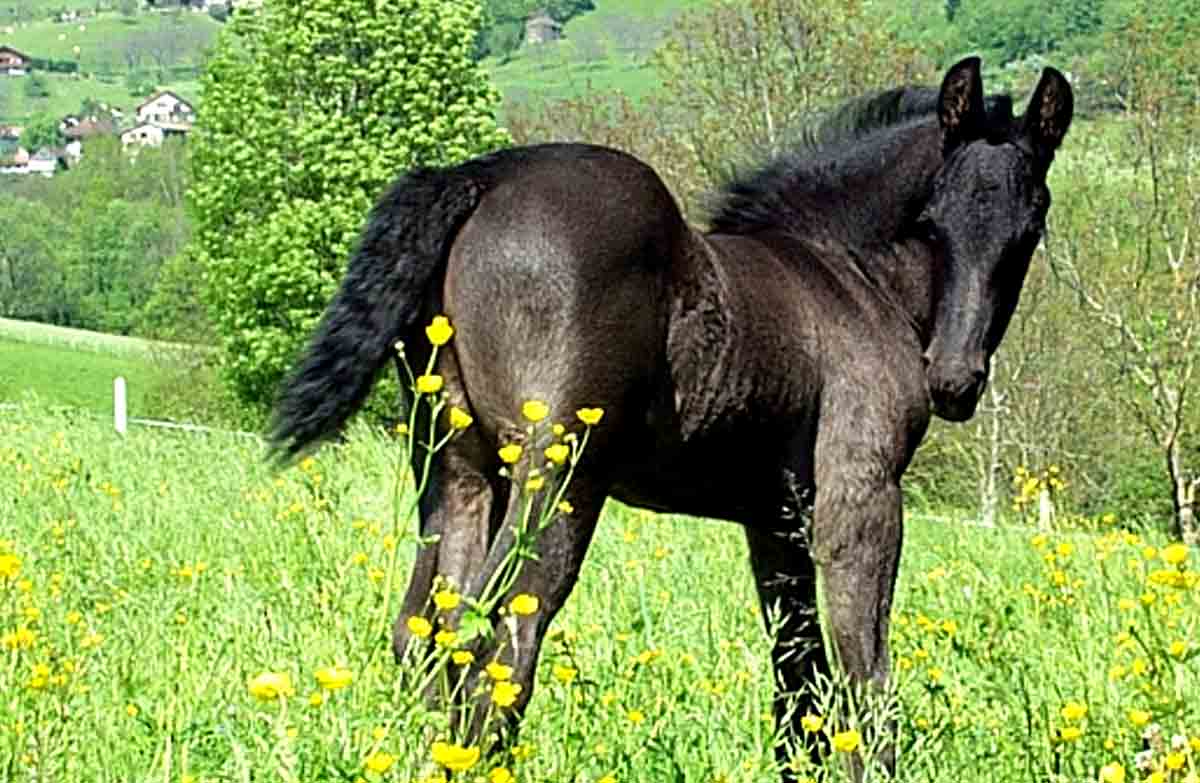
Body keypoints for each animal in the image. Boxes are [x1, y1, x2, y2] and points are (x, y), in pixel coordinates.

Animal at [269, 57, 1073, 778]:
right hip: (558, 474)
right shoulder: (861, 497)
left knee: (429, 628)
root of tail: (480, 176)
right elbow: (863, 680)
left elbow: (797, 684)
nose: (954, 380)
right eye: (931, 224)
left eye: (1030, 227)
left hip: (456, 466)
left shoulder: (775, 522)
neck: (847, 278)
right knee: (503, 638)